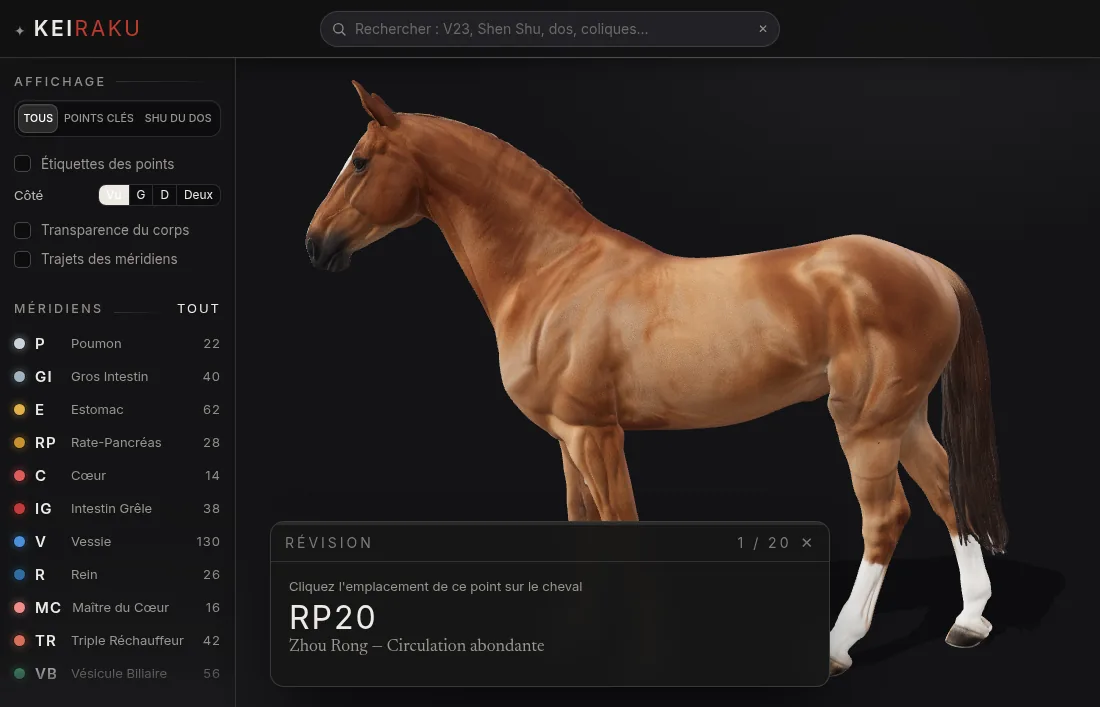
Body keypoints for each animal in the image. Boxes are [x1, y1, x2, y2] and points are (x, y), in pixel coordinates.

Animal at [305, 81, 1008, 677]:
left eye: (360, 161)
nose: (315, 244)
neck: (554, 272)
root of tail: (927, 267)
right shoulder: (567, 439)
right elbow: (583, 528)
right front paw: (575, 638)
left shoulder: (597, 434)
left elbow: (622, 528)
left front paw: (646, 652)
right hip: (901, 417)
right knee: (946, 489)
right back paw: (969, 621)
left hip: (865, 424)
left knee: (886, 516)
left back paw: (838, 648)